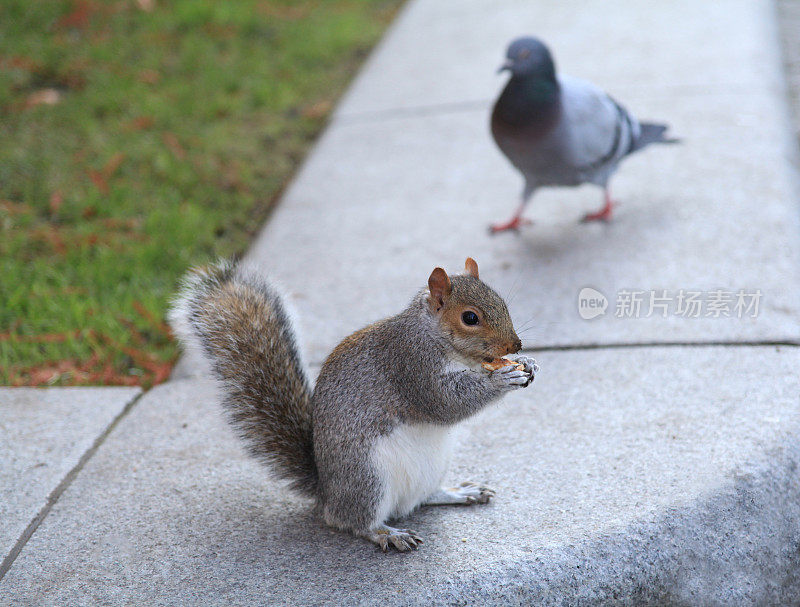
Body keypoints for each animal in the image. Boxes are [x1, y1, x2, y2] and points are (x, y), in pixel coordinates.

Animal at [172, 255, 540, 552]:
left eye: (502, 302)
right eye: (470, 318)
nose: (516, 345)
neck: (433, 335)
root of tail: (325, 494)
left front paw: (528, 364)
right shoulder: (411, 366)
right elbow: (445, 402)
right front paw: (502, 379)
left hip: (431, 466)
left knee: (420, 499)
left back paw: (458, 492)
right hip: (367, 477)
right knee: (351, 521)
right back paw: (387, 533)